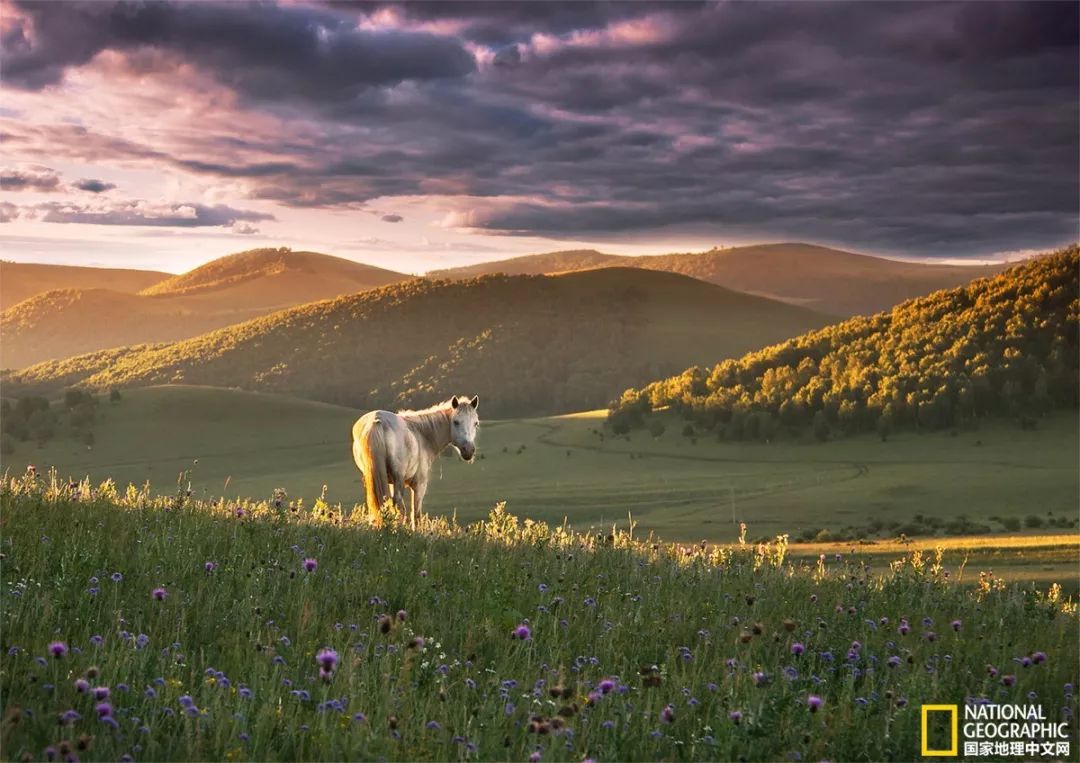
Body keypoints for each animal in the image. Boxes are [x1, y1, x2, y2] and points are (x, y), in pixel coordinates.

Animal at [352, 395, 479, 525]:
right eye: (456, 422)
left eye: (475, 423)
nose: (469, 450)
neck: (421, 435)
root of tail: (377, 421)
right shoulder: (419, 485)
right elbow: (416, 514)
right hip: (398, 478)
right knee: (399, 505)